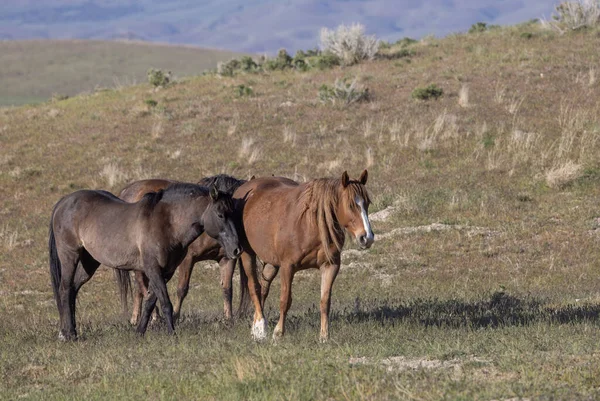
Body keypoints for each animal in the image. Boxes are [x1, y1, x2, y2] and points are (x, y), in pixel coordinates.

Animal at [48, 183, 241, 340]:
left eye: (234, 213)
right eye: (220, 215)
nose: (236, 249)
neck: (167, 222)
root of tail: (63, 202)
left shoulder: (166, 272)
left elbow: (150, 301)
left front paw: (139, 332)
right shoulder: (153, 269)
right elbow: (165, 303)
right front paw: (172, 334)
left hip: (89, 263)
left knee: (73, 289)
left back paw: (69, 330)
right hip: (70, 255)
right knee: (65, 289)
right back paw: (69, 334)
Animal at [115, 173, 248, 324]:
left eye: (236, 213)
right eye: (220, 215)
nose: (237, 247)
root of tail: (127, 191)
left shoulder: (227, 259)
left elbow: (227, 289)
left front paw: (228, 318)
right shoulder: (187, 259)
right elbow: (182, 289)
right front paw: (175, 316)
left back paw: (136, 318)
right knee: (142, 284)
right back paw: (155, 316)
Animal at [236, 170, 372, 340]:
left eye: (367, 203)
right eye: (351, 205)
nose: (367, 237)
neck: (309, 224)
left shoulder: (330, 266)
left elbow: (325, 301)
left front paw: (324, 336)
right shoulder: (288, 267)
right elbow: (285, 300)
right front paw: (278, 333)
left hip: (271, 262)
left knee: (263, 288)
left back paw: (256, 327)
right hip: (247, 254)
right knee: (254, 287)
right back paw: (261, 327)